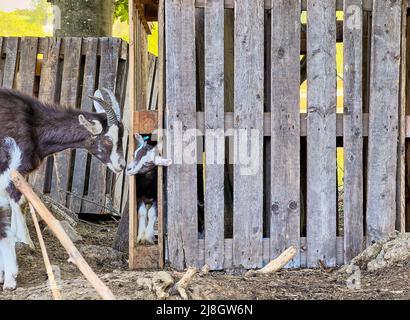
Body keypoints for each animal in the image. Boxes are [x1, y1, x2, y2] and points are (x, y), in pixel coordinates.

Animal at [0, 88, 125, 290]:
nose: (121, 165)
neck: (33, 124)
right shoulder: (10, 170)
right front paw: (24, 245)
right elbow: (17, 203)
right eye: (108, 140)